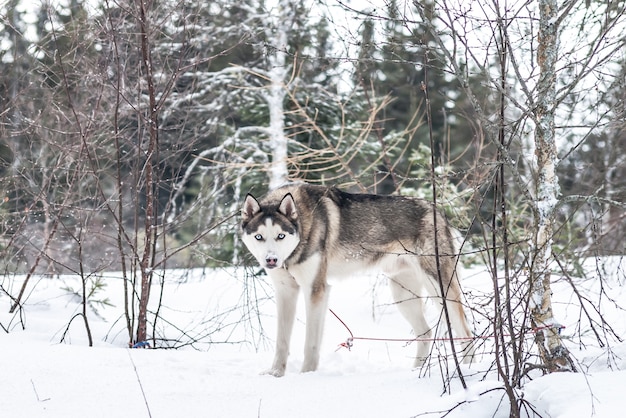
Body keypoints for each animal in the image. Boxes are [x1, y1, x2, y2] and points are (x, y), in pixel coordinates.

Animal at [240, 183, 472, 376]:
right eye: (259, 237)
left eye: (281, 236)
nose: (271, 260)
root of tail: (437, 211)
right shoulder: (286, 292)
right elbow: (282, 341)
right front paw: (275, 374)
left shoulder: (315, 290)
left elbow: (310, 343)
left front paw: (306, 376)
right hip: (403, 295)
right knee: (425, 334)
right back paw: (415, 373)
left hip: (440, 290)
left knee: (465, 333)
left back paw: (468, 370)